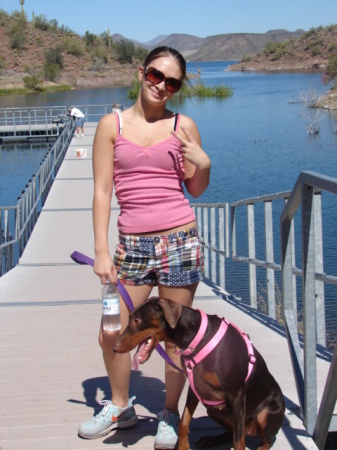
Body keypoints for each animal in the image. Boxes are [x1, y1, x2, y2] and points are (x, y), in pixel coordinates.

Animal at [113, 298, 284, 448]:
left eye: (136, 321)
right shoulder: (195, 387)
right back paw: (210, 440)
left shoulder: (237, 394)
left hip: (264, 414)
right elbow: (183, 422)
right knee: (230, 432)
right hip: (214, 409)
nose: (114, 347)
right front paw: (183, 446)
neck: (197, 337)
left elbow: (238, 442)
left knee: (266, 440)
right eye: (130, 318)